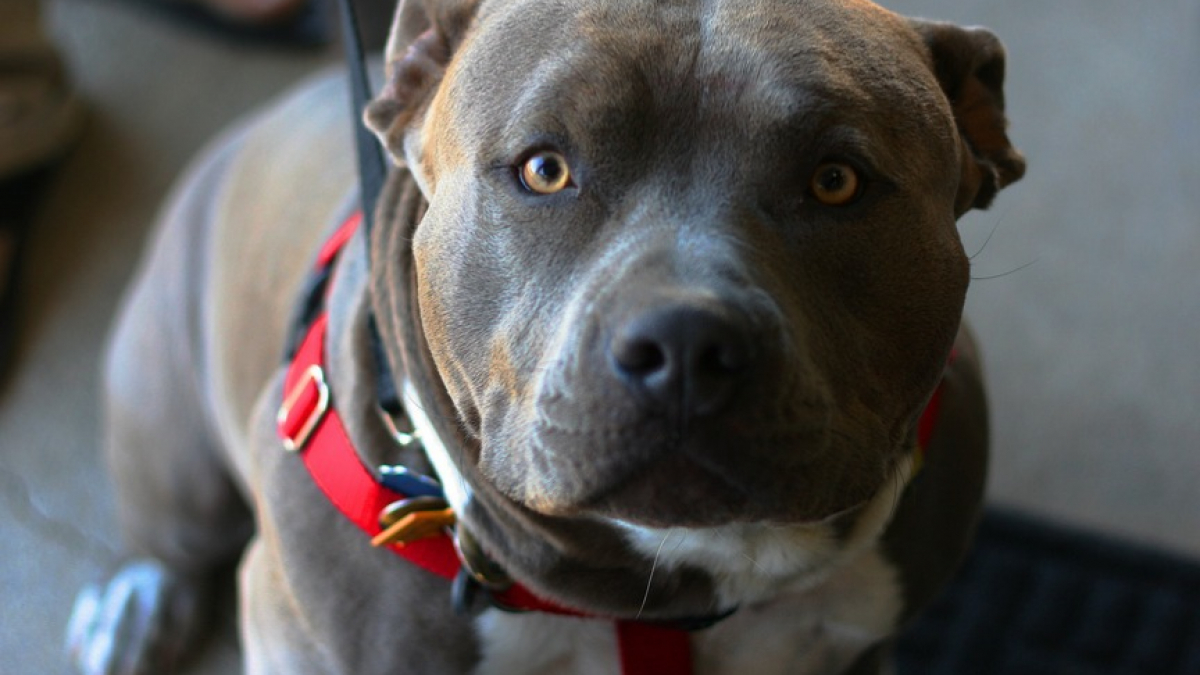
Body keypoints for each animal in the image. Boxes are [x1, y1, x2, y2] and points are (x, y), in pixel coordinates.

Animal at [65, 0, 1022, 667]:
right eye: (544, 169)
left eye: (836, 181)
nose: (685, 347)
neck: (664, 595)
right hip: (170, 435)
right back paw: (137, 606)